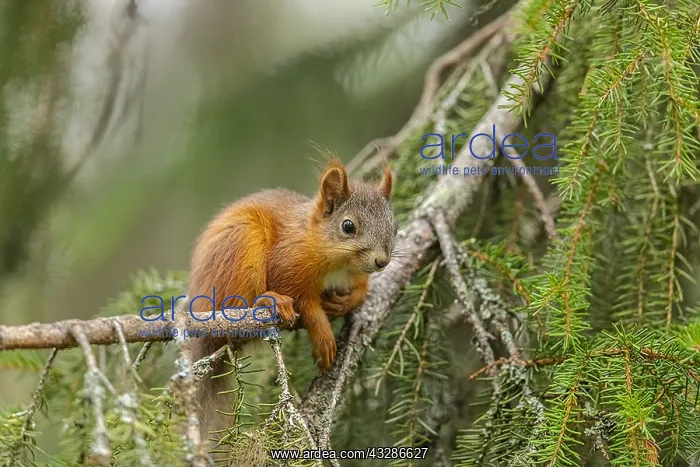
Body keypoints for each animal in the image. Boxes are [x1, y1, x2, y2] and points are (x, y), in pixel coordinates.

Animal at [183, 157, 397, 441]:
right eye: (348, 226)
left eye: (395, 227)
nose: (382, 262)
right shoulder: (288, 265)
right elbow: (304, 301)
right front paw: (323, 335)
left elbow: (361, 293)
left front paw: (346, 302)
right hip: (240, 246)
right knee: (234, 305)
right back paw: (269, 301)